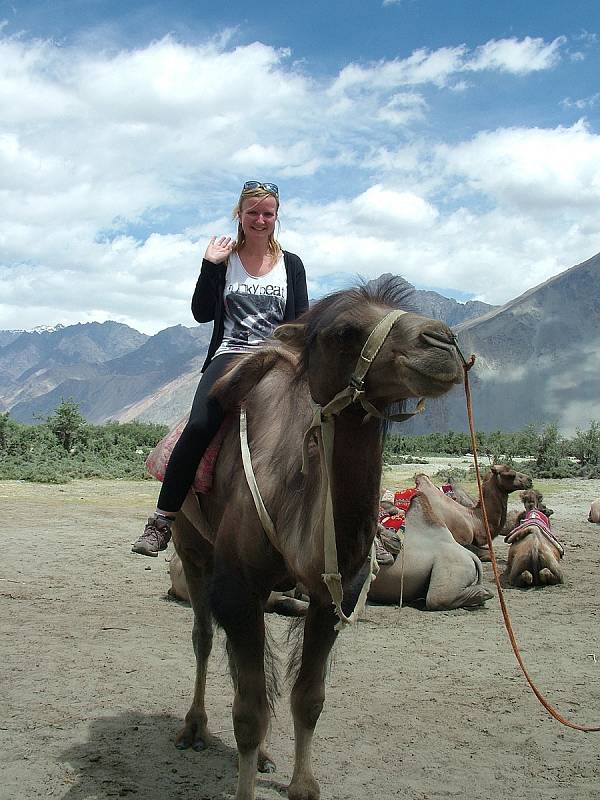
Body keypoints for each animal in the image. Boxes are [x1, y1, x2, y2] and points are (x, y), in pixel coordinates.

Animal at [169, 276, 464, 800]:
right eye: (346, 331)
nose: (443, 343)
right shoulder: (238, 587)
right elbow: (247, 713)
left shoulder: (333, 595)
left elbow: (308, 698)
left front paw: (302, 785)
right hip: (192, 547)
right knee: (202, 636)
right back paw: (194, 727)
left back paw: (265, 754)